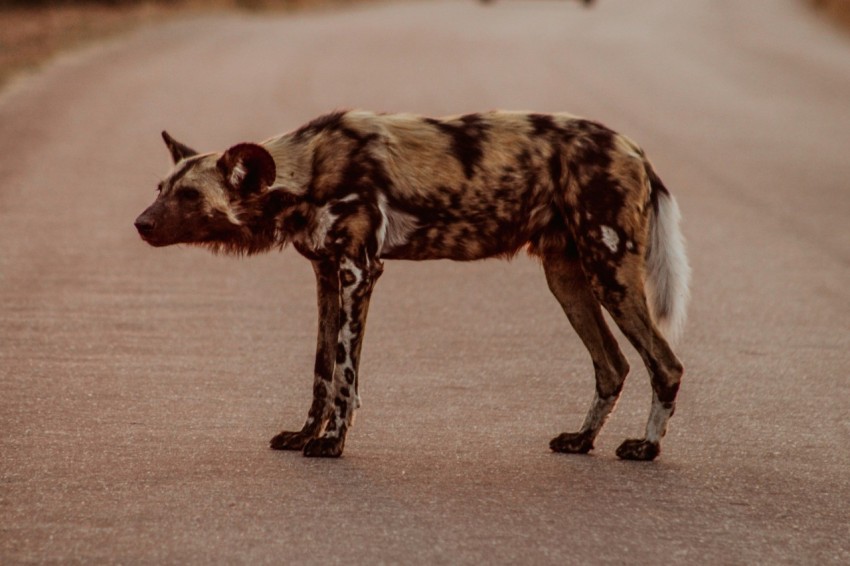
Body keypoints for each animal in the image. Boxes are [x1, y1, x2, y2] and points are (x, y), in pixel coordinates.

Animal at [132, 110, 688, 462]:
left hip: (609, 272)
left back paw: (646, 449)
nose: (140, 224)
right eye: (160, 189)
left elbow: (345, 373)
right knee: (612, 366)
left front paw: (332, 443)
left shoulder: (359, 272)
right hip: (567, 277)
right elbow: (322, 372)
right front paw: (305, 433)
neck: (305, 172)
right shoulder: (327, 275)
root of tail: (635, 149)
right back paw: (582, 440)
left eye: (188, 196)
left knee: (666, 364)